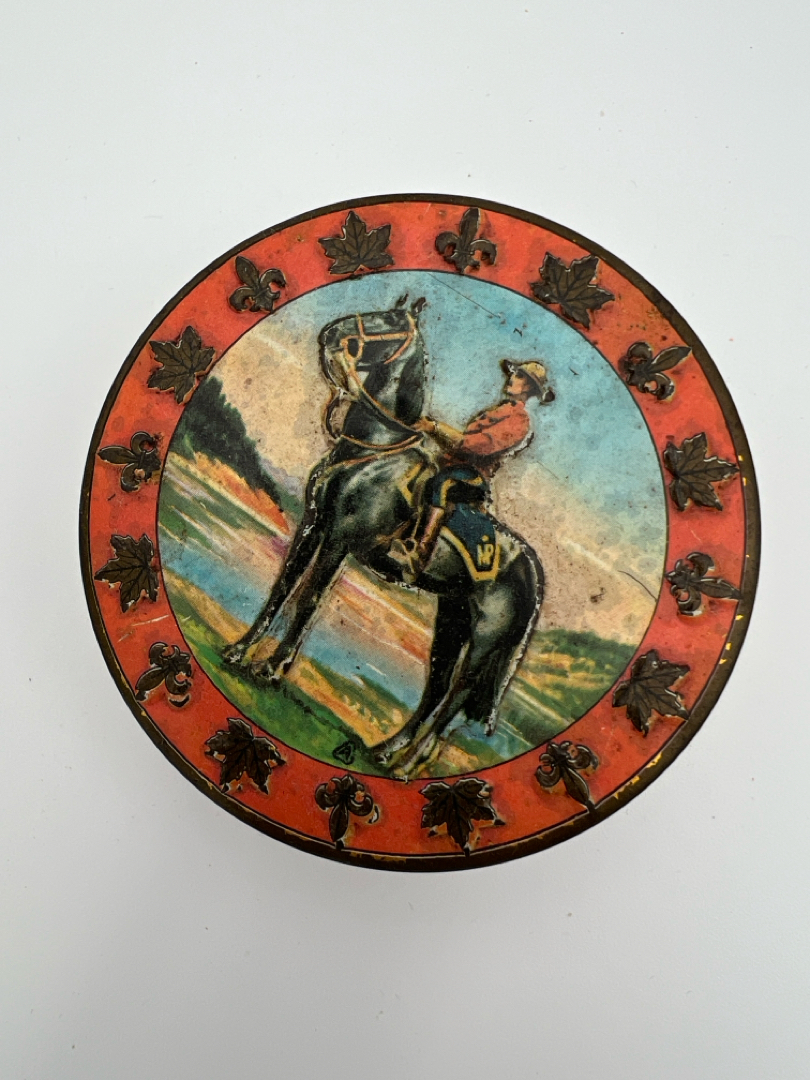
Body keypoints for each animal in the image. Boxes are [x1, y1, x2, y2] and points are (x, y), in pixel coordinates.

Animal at [222, 297, 547, 777]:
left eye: (390, 320)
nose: (331, 334)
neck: (372, 453)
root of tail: (532, 569)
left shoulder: (338, 539)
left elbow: (309, 597)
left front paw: (271, 670)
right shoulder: (313, 525)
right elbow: (283, 587)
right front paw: (239, 651)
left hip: (484, 642)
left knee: (455, 699)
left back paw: (406, 768)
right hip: (451, 619)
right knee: (436, 686)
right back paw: (385, 751)